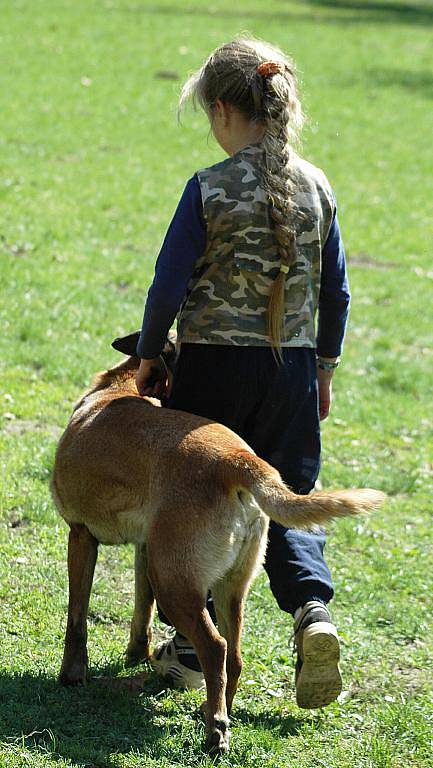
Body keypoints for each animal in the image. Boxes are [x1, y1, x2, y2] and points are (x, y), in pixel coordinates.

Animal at [51, 340, 384, 752]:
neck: (120, 387)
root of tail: (236, 461)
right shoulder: (145, 550)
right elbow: (141, 612)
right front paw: (135, 655)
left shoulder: (81, 536)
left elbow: (77, 616)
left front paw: (72, 674)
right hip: (225, 586)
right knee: (234, 657)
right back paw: (215, 712)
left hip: (176, 585)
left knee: (215, 648)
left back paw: (215, 731)